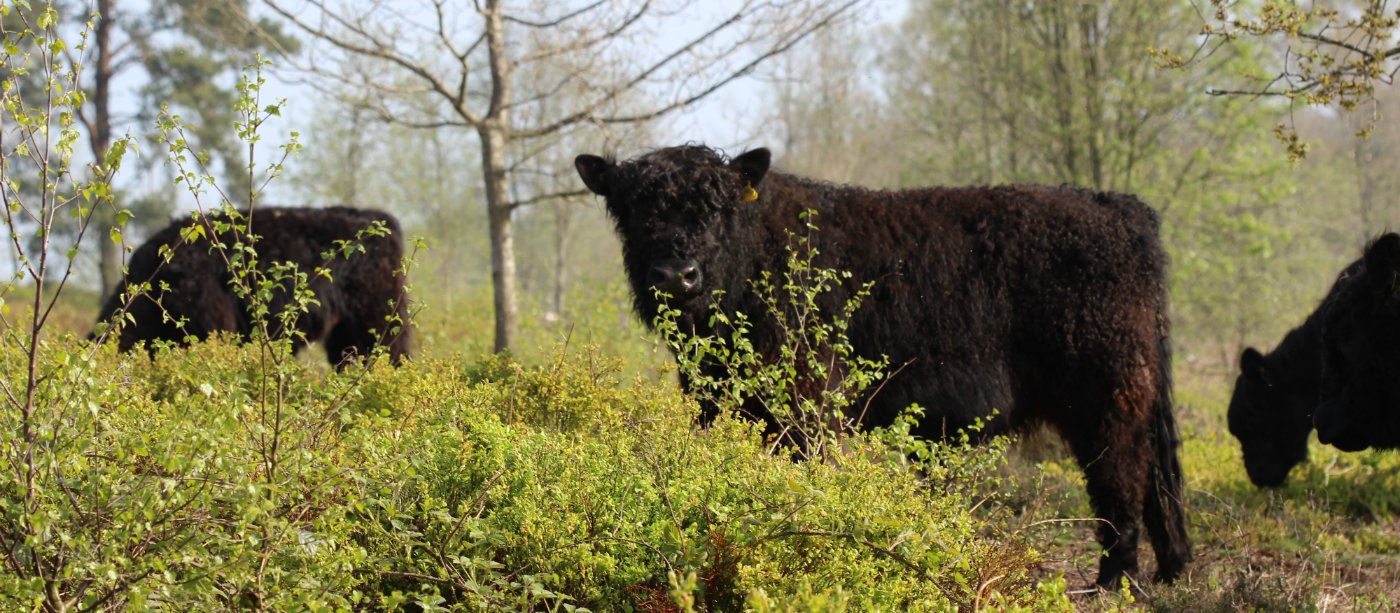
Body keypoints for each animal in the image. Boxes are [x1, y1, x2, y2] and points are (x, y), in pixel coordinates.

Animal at [575, 144, 1191, 588]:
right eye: (634, 213)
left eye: (717, 210)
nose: (676, 275)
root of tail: (1116, 207)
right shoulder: (719, 401)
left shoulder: (805, 405)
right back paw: (1170, 571)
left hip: (1107, 396)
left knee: (1121, 481)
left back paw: (1115, 583)